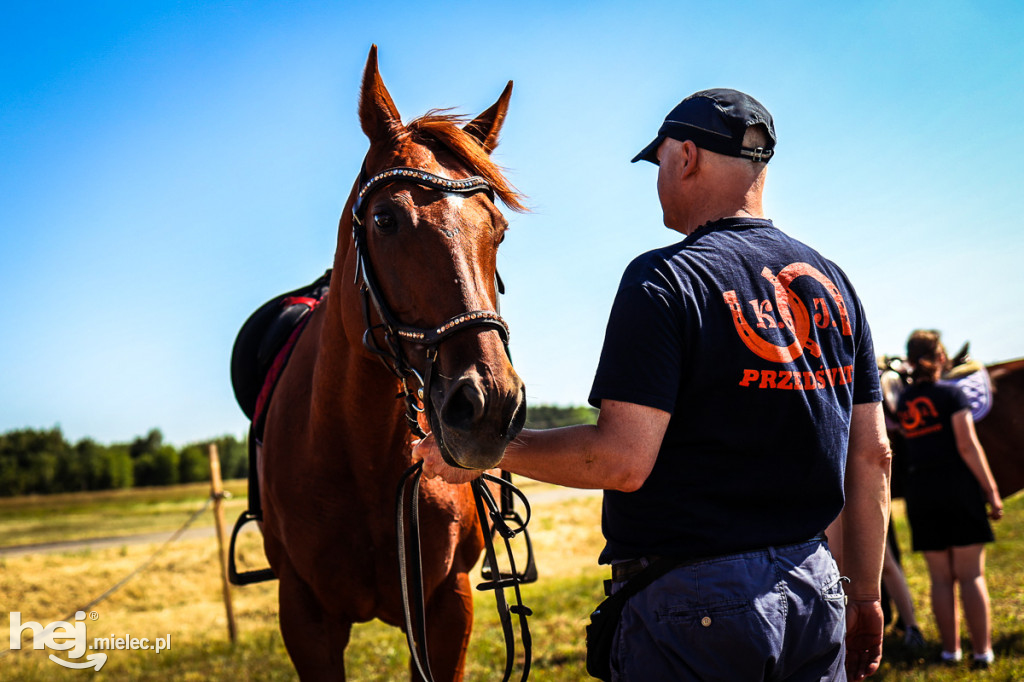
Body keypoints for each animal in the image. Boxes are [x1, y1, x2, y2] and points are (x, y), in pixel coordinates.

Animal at [256, 45, 528, 675]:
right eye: (385, 219)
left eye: (498, 229)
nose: (489, 406)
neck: (362, 461)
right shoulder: (306, 620)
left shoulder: (446, 607)